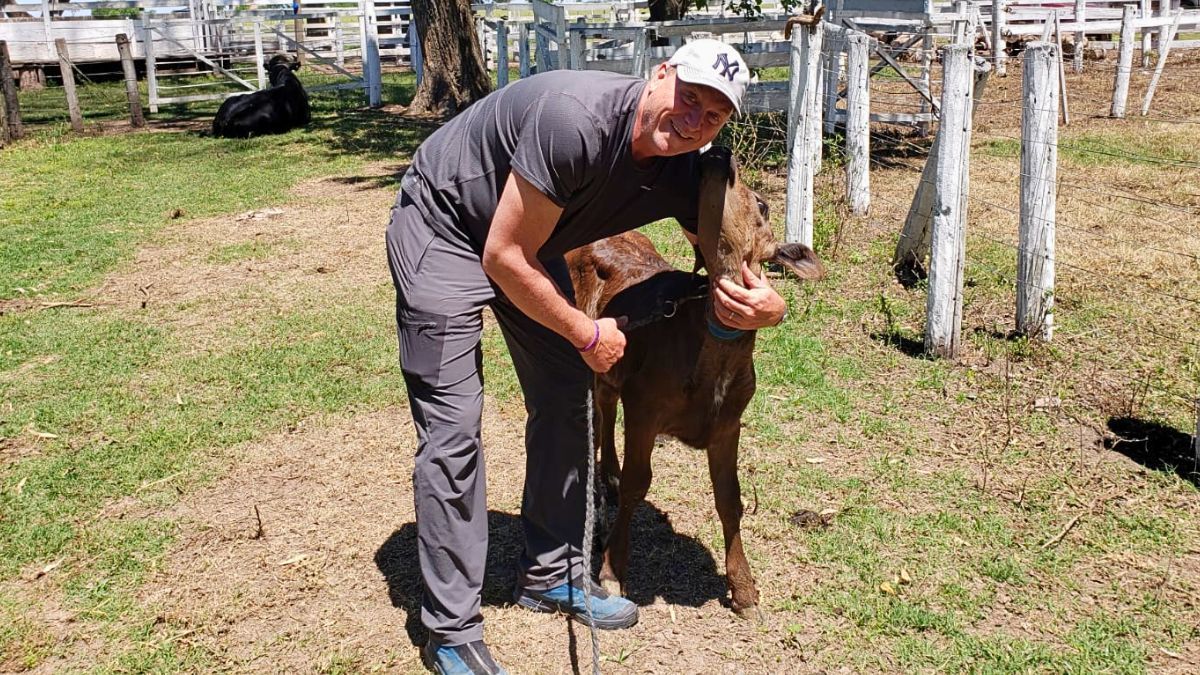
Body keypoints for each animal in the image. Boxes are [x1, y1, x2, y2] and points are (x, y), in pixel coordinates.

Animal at [564, 147, 825, 614]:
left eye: (763, 205)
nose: (721, 153)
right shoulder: (645, 404)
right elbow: (639, 483)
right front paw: (612, 570)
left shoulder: (729, 422)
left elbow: (730, 498)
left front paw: (744, 587)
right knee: (593, 418)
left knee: (606, 407)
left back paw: (608, 477)